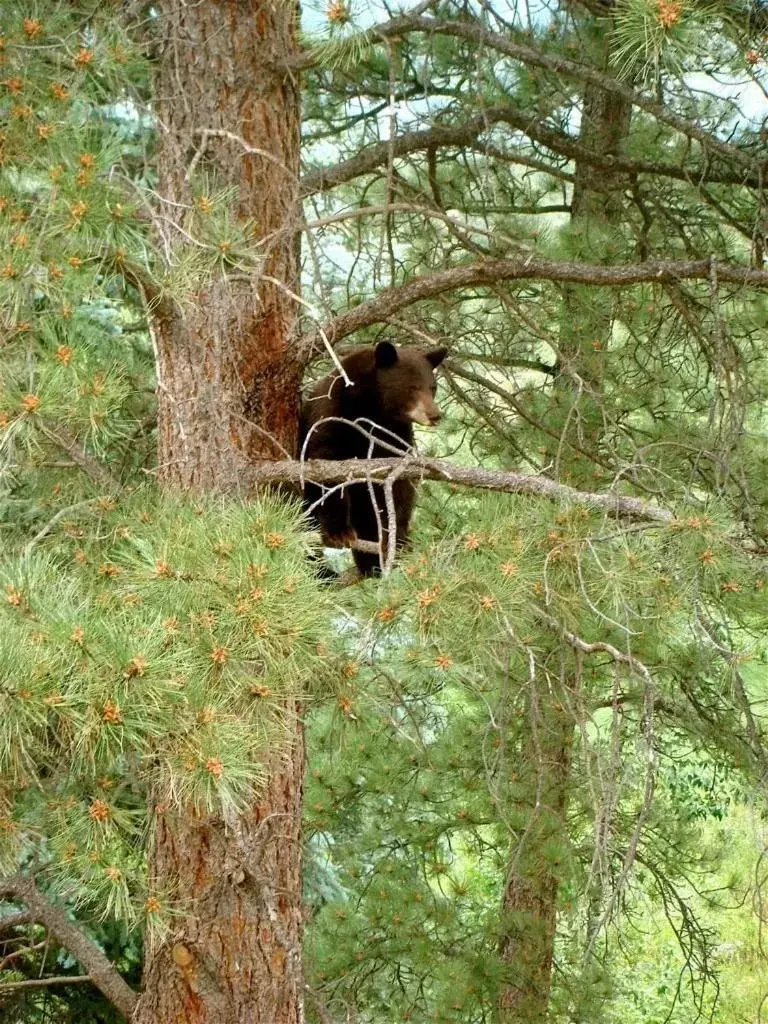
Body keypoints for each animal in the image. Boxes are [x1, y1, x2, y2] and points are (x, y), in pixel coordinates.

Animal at [296, 337, 448, 573]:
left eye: (433, 387)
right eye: (412, 386)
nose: (435, 415)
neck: (373, 409)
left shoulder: (395, 435)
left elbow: (398, 485)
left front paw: (396, 538)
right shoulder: (331, 414)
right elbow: (327, 470)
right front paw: (339, 532)